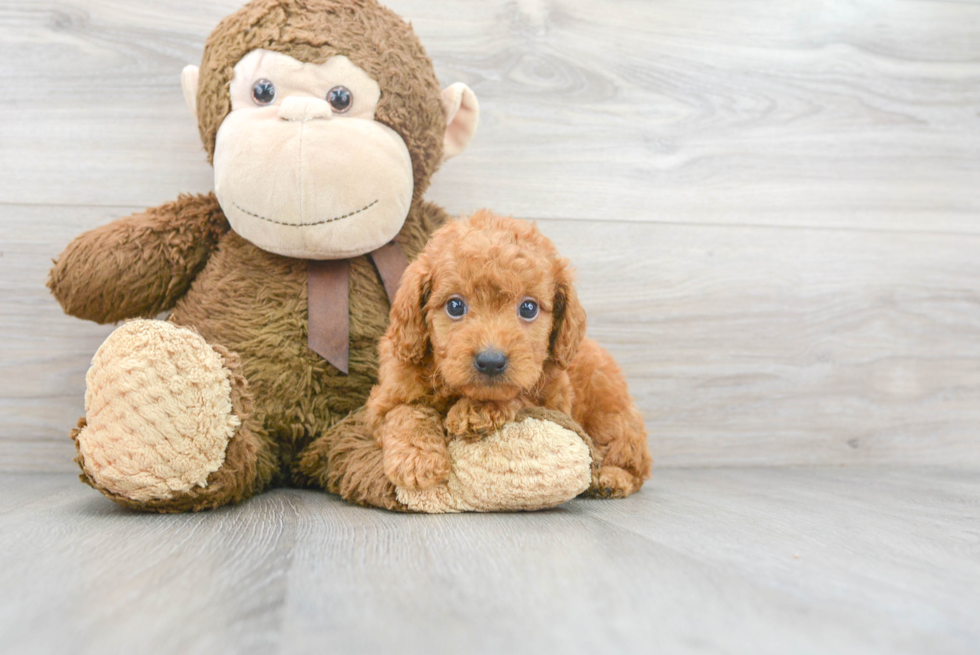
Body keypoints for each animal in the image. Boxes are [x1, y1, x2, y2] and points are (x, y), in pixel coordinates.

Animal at [364, 213, 656, 500]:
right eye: (455, 306)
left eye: (528, 308)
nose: (491, 362)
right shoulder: (387, 396)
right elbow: (405, 412)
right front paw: (417, 460)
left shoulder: (553, 399)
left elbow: (520, 395)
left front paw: (476, 411)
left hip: (610, 415)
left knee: (634, 460)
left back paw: (610, 478)